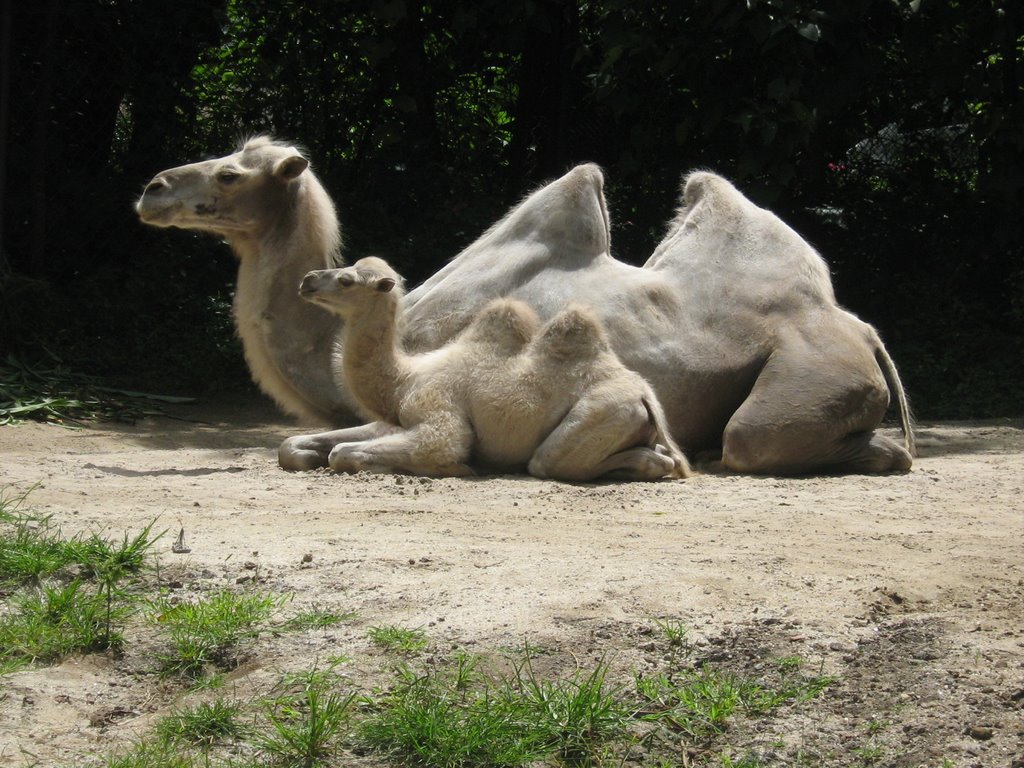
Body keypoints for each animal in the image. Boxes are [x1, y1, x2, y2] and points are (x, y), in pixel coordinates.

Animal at [278, 262, 688, 483]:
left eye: (347, 280)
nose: (307, 280)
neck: (405, 380)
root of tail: (645, 395)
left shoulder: (436, 409)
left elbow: (348, 452)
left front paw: (456, 466)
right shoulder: (395, 420)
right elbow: (292, 446)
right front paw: (307, 456)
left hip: (601, 411)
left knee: (550, 461)